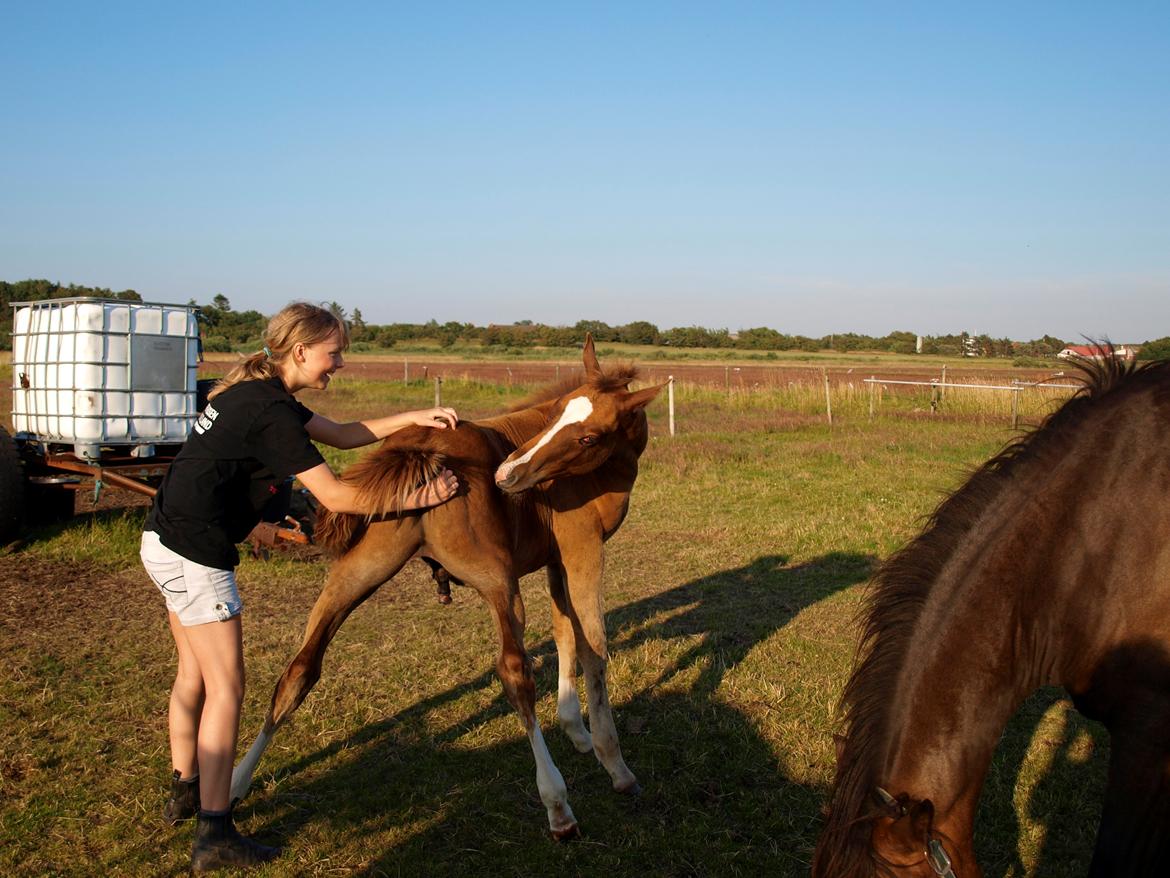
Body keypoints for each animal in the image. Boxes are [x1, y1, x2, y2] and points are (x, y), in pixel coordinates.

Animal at [230, 337, 669, 838]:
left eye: (588, 437)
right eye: (557, 413)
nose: (508, 474)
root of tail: (423, 450)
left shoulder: (556, 560)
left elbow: (564, 633)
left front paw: (575, 728)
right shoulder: (583, 551)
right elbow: (594, 647)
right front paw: (614, 762)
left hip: (353, 575)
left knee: (299, 669)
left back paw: (234, 786)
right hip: (499, 581)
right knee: (514, 673)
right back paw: (557, 803)